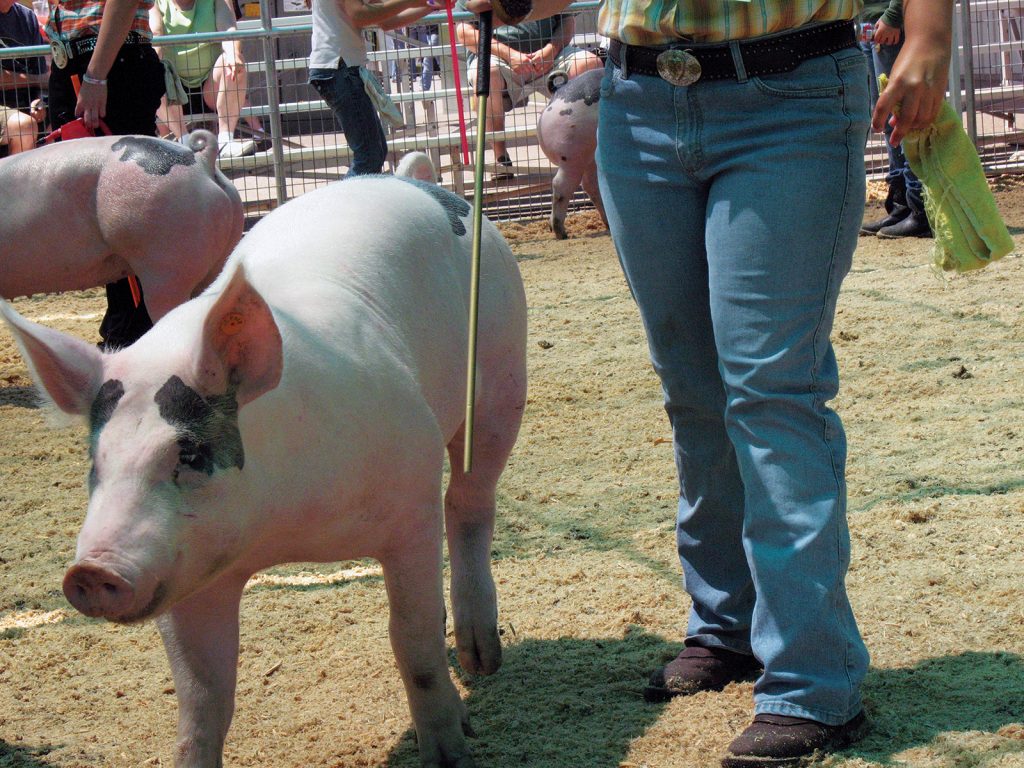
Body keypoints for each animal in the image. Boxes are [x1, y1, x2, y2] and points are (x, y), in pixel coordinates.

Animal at [0, 174, 527, 768]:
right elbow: (202, 699)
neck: (281, 531)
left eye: (189, 453)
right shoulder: (184, 573)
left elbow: (411, 639)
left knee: (469, 501)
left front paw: (449, 754)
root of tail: (413, 177)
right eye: (97, 463)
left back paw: (483, 661)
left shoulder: (411, 502)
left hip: (504, 374)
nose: (91, 571)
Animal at [536, 68, 608, 240]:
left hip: (588, 156)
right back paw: (561, 233)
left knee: (591, 185)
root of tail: (557, 92)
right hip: (572, 156)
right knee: (561, 184)